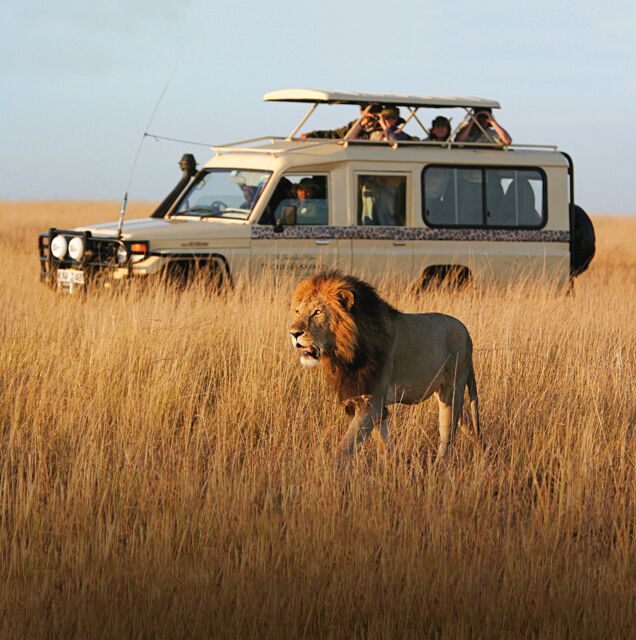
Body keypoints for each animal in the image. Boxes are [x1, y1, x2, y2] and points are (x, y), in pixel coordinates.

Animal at [289, 270, 484, 461]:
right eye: (298, 312)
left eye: (317, 312)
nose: (293, 333)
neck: (346, 352)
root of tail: (467, 334)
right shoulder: (364, 398)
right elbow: (383, 441)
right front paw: (395, 461)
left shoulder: (372, 401)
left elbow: (345, 447)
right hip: (444, 390)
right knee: (467, 420)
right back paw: (484, 450)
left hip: (452, 388)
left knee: (448, 434)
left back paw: (440, 464)